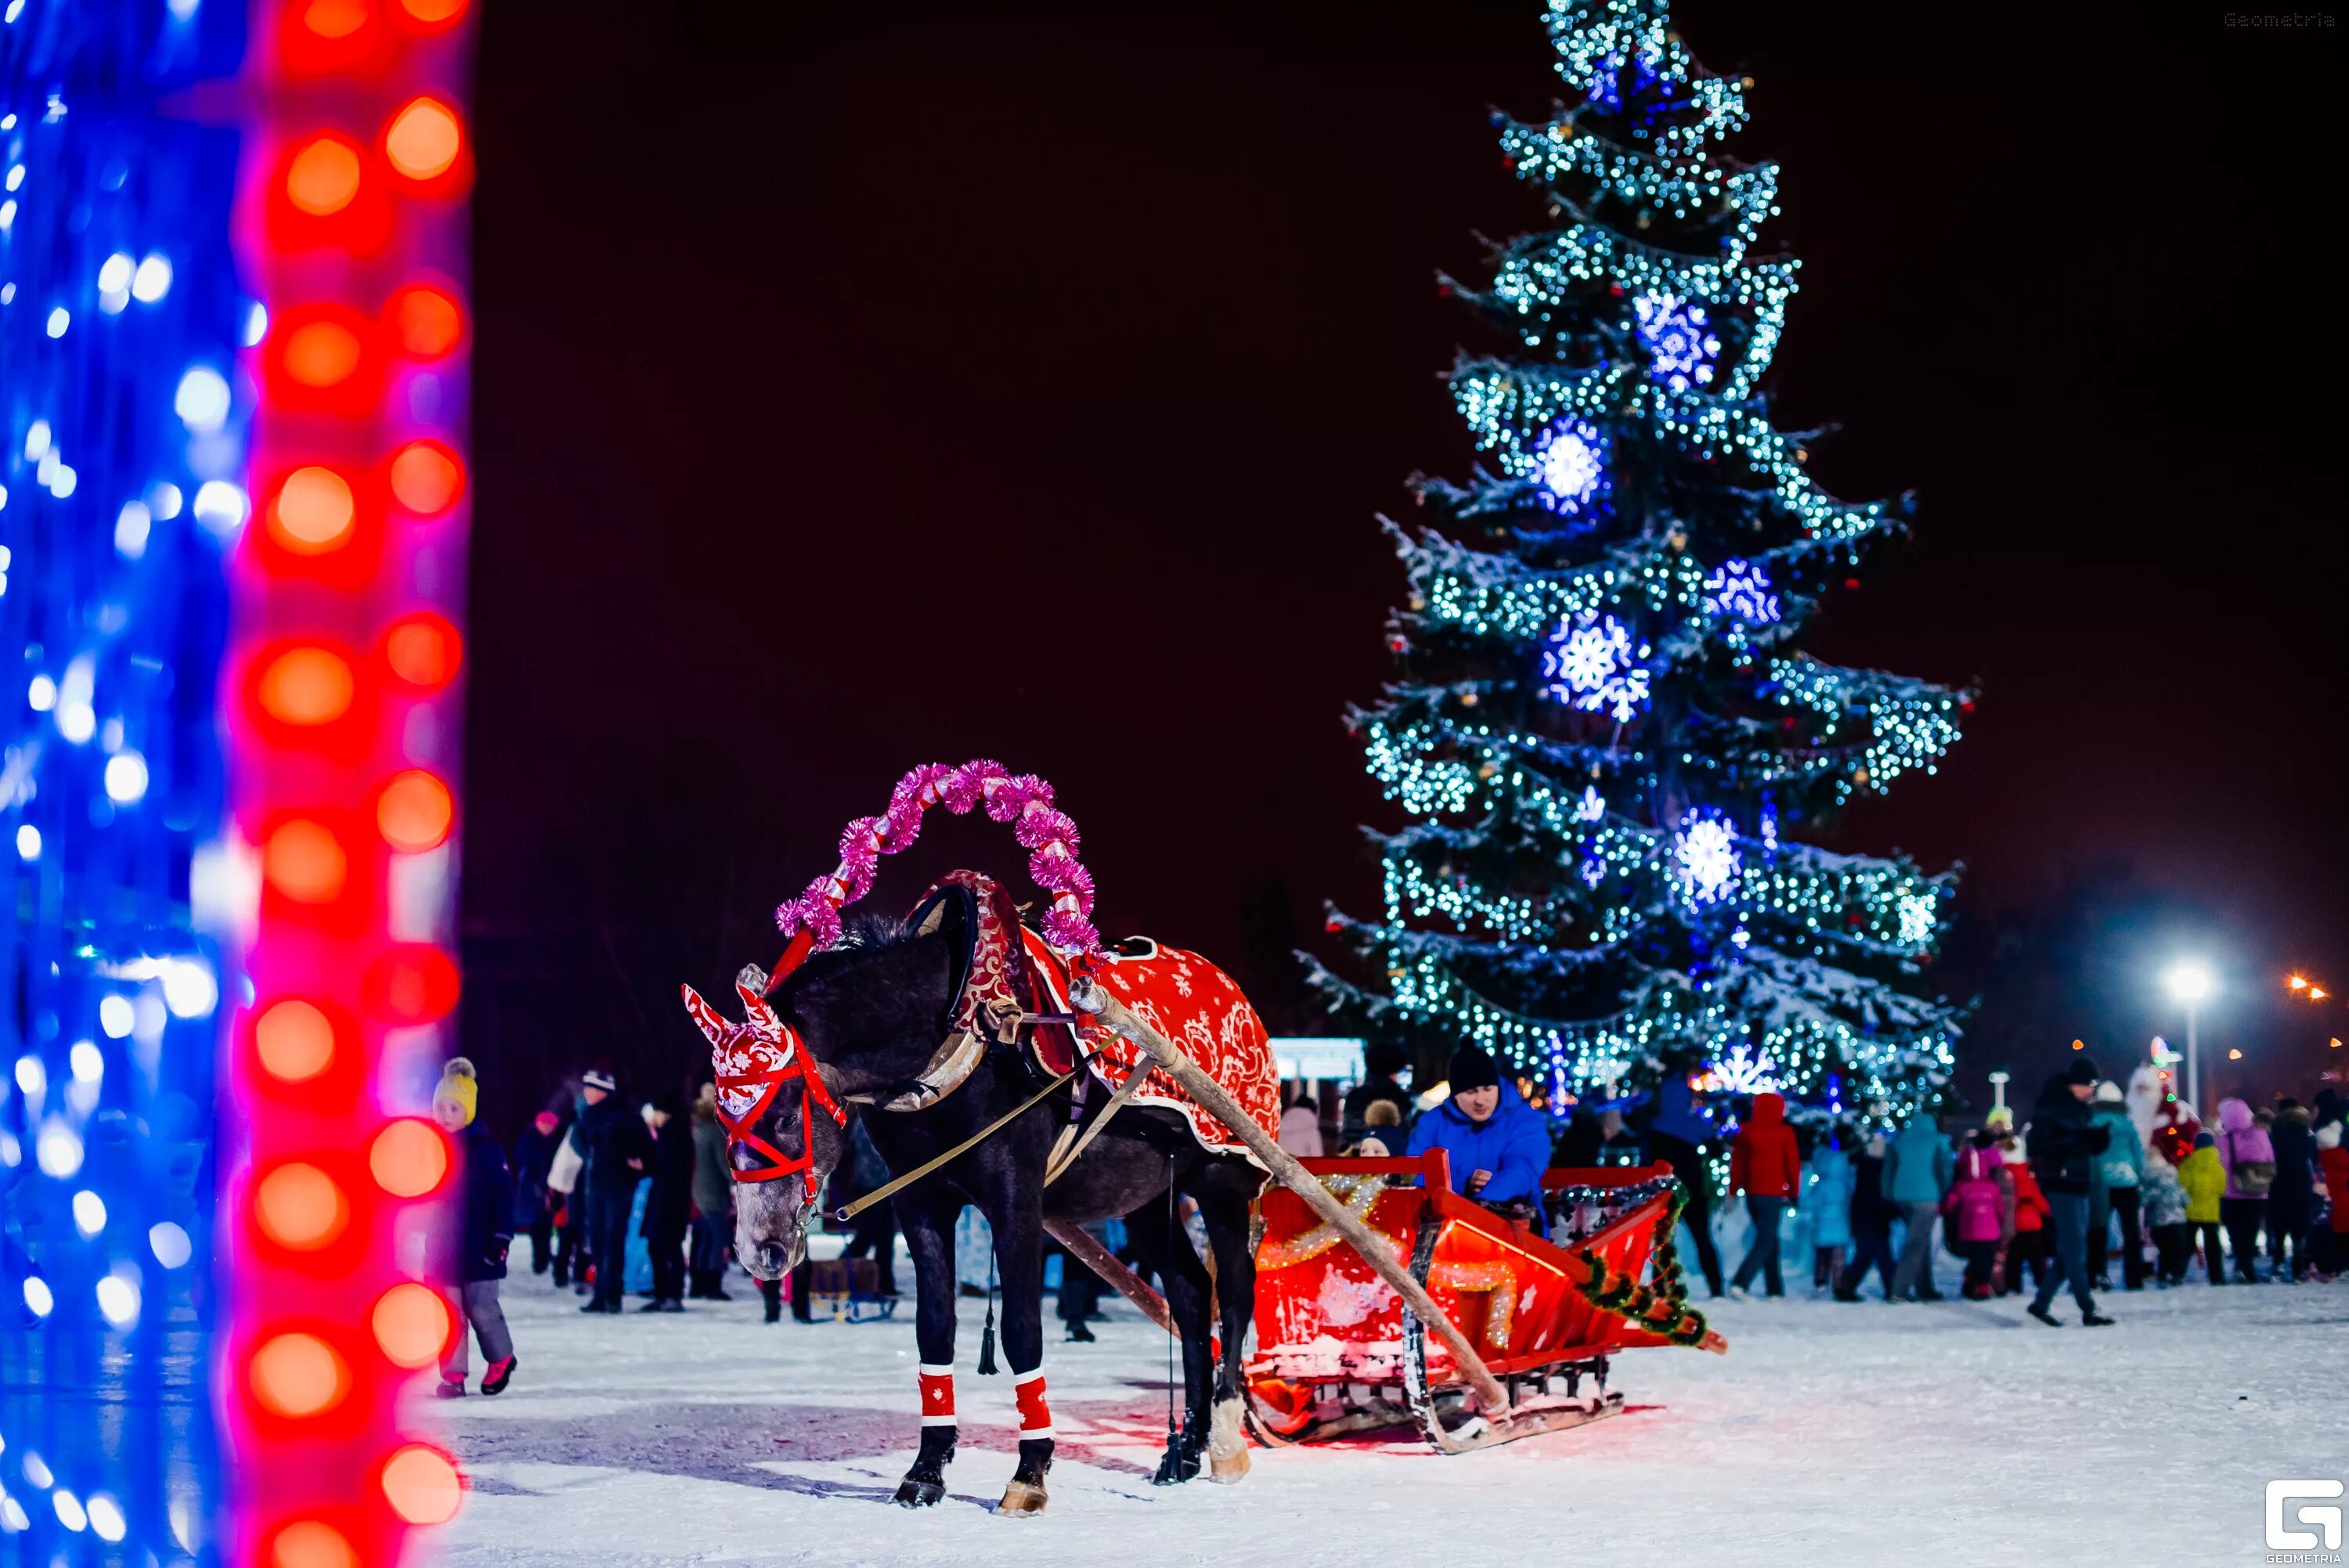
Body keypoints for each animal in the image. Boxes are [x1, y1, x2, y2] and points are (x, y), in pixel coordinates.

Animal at [686, 878, 1268, 1512]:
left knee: (1235, 1293)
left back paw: (1225, 1437)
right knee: (1190, 1294)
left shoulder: (1016, 1198)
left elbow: (1021, 1329)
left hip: (1222, 1177)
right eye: (724, 1117)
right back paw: (1184, 1447)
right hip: (1141, 1198)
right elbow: (934, 1325)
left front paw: (1031, 1469)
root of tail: (1232, 989)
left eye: (788, 1114)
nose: (758, 1249)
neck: (961, 1037)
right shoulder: (920, 1202)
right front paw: (927, 1467)